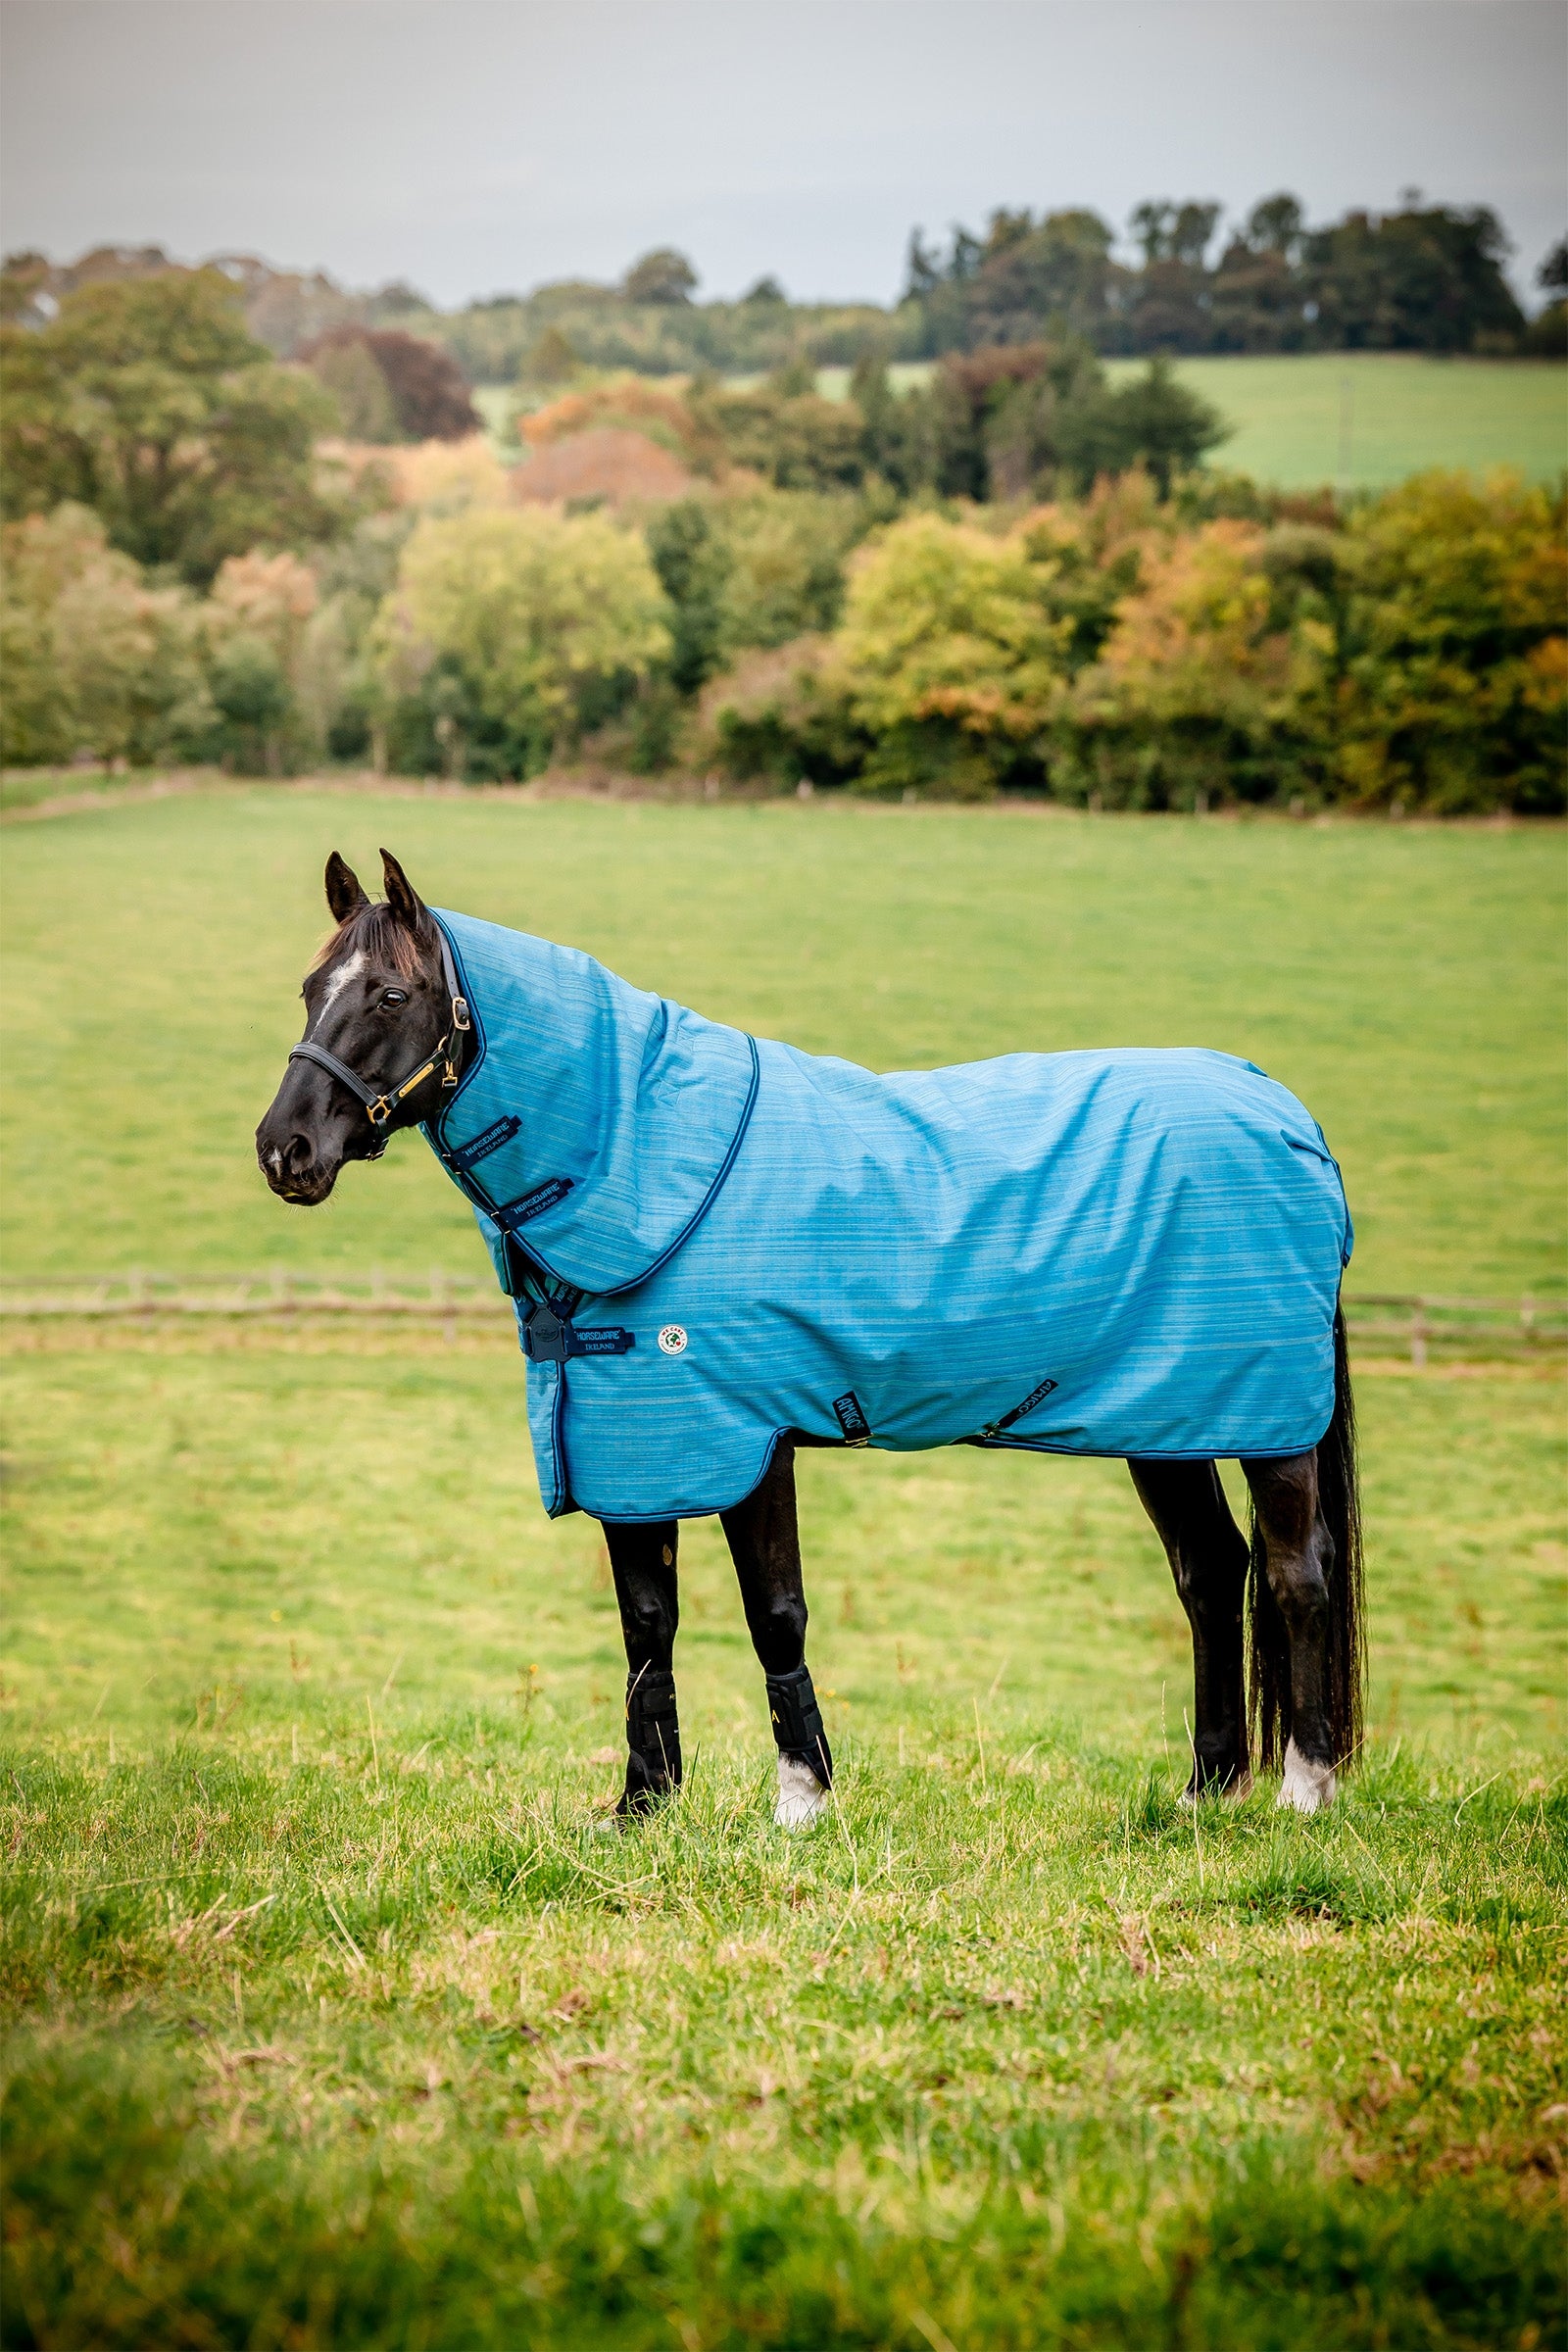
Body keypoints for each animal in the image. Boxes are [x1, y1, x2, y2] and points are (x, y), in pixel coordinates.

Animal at [257, 849, 1363, 1828]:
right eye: (310, 988)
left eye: (390, 996)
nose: (285, 1150)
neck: (647, 1160)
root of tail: (1284, 1115)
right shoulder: (632, 1444)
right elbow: (646, 1626)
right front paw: (642, 1808)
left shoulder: (744, 1439)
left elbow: (771, 1612)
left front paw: (802, 1800)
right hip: (1168, 1419)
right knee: (1211, 1574)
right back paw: (1204, 1793)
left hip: (1269, 1421)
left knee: (1294, 1574)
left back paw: (1305, 1792)